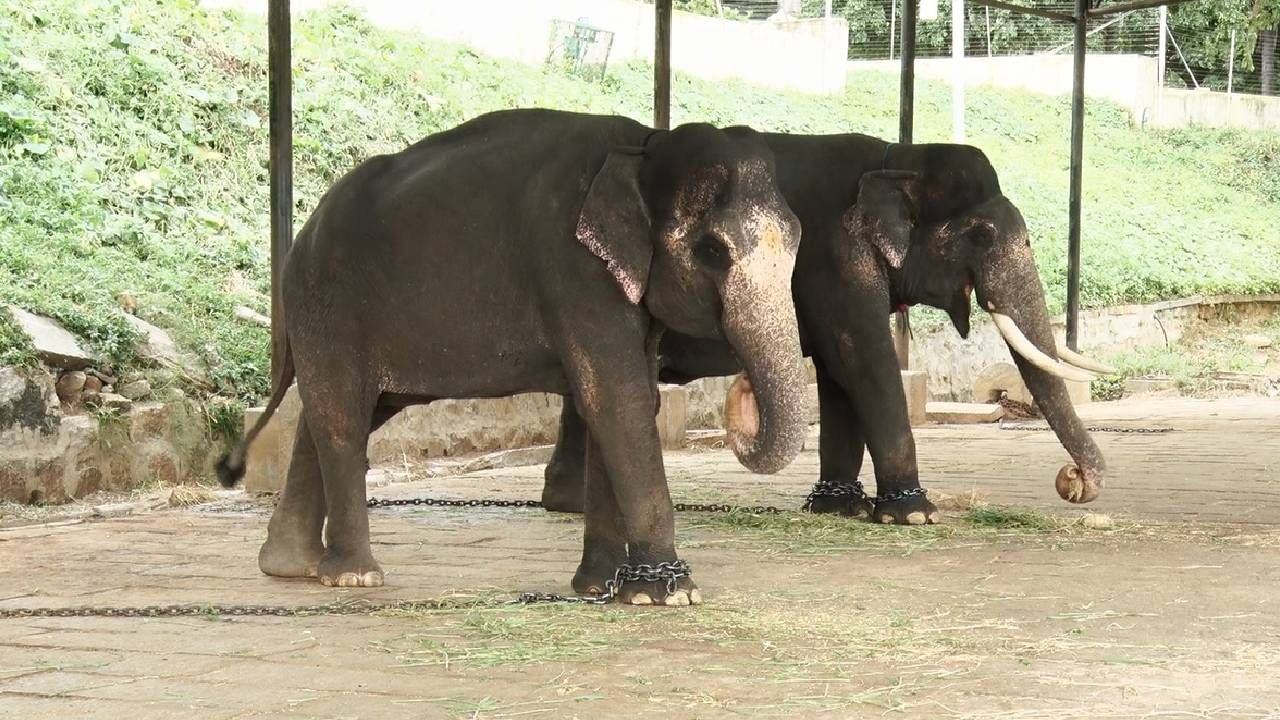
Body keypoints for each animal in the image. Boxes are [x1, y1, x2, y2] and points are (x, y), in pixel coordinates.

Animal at [213, 105, 803, 599]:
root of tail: (303, 232)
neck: (644, 146)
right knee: (341, 415)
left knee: (336, 413)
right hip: (328, 301)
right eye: (712, 251)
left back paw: (289, 566)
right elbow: (622, 400)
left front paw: (602, 588)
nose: (741, 385)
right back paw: (355, 578)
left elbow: (613, 403)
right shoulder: (573, 270)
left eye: (798, 240)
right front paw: (668, 593)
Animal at [540, 130, 1111, 520]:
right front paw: (912, 515)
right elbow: (864, 357)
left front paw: (841, 507)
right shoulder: (837, 257)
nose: (1071, 480)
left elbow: (840, 374)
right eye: (983, 235)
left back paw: (566, 503)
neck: (896, 160)